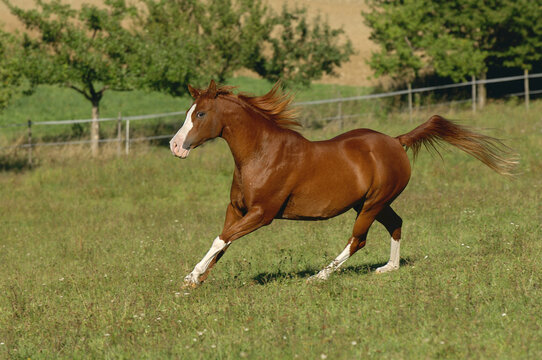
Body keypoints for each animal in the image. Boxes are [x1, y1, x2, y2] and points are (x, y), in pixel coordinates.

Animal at [170, 79, 520, 286]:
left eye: (200, 114)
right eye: (189, 111)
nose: (175, 146)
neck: (262, 154)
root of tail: (396, 141)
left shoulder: (262, 214)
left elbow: (222, 239)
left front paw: (191, 278)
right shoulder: (237, 209)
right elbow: (222, 243)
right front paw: (193, 280)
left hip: (372, 203)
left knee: (358, 240)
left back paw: (319, 276)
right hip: (371, 203)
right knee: (396, 223)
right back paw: (389, 268)